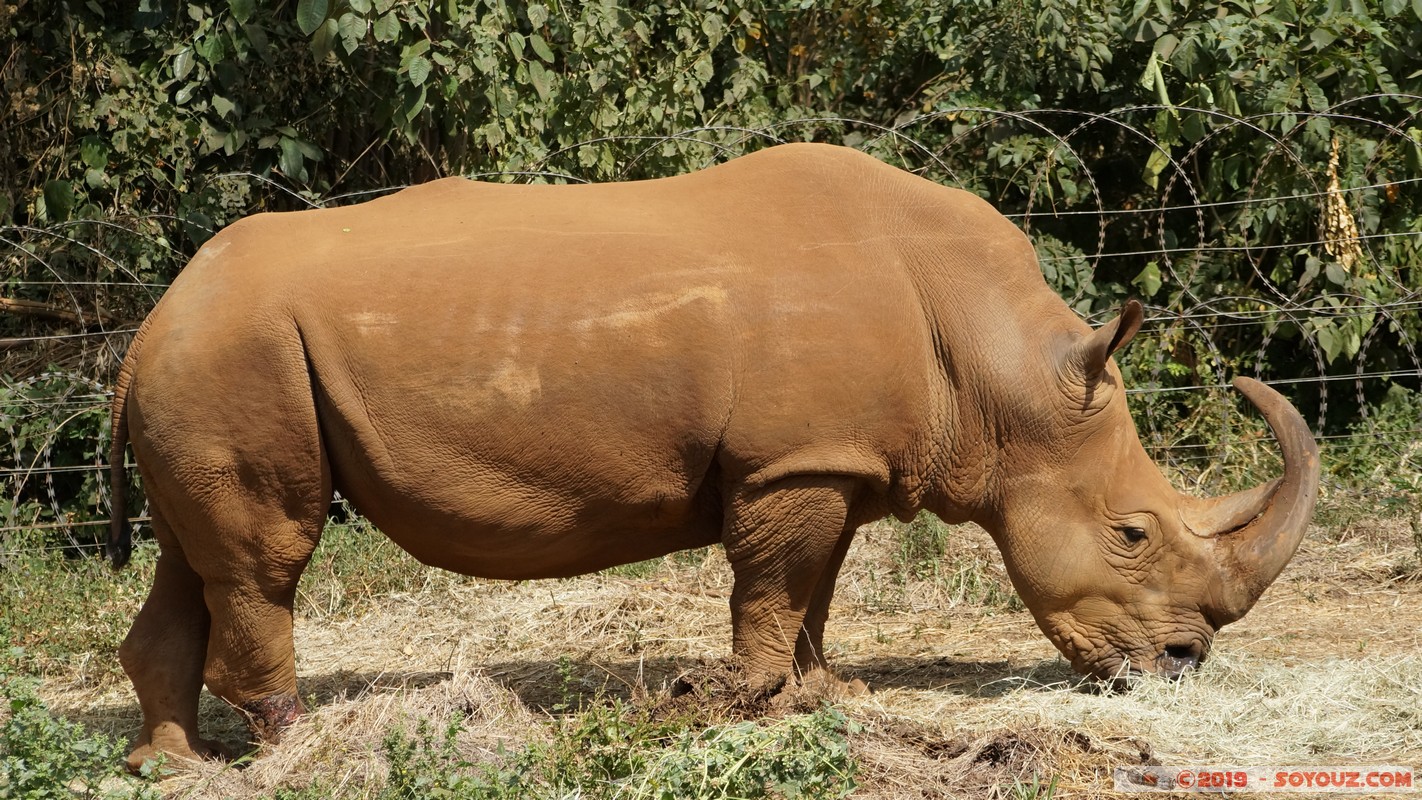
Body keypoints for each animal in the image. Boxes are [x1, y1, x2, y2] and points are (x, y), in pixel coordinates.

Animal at [108, 143, 1318, 768]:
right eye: (1132, 532)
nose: (1181, 667)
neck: (995, 368)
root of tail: (148, 325)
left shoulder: (833, 462)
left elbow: (816, 590)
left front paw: (823, 695)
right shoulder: (792, 464)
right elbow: (772, 588)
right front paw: (737, 699)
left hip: (205, 363)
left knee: (193, 560)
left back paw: (170, 766)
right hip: (238, 355)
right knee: (266, 556)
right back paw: (296, 749)